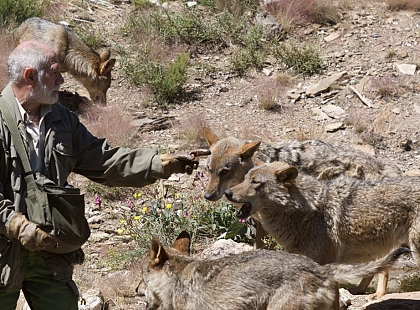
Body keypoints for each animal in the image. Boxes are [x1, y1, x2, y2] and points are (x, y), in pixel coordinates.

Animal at [225, 163, 420, 300]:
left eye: (255, 182)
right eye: (244, 179)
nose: (227, 192)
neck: (307, 210)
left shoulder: (323, 261)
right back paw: (362, 291)